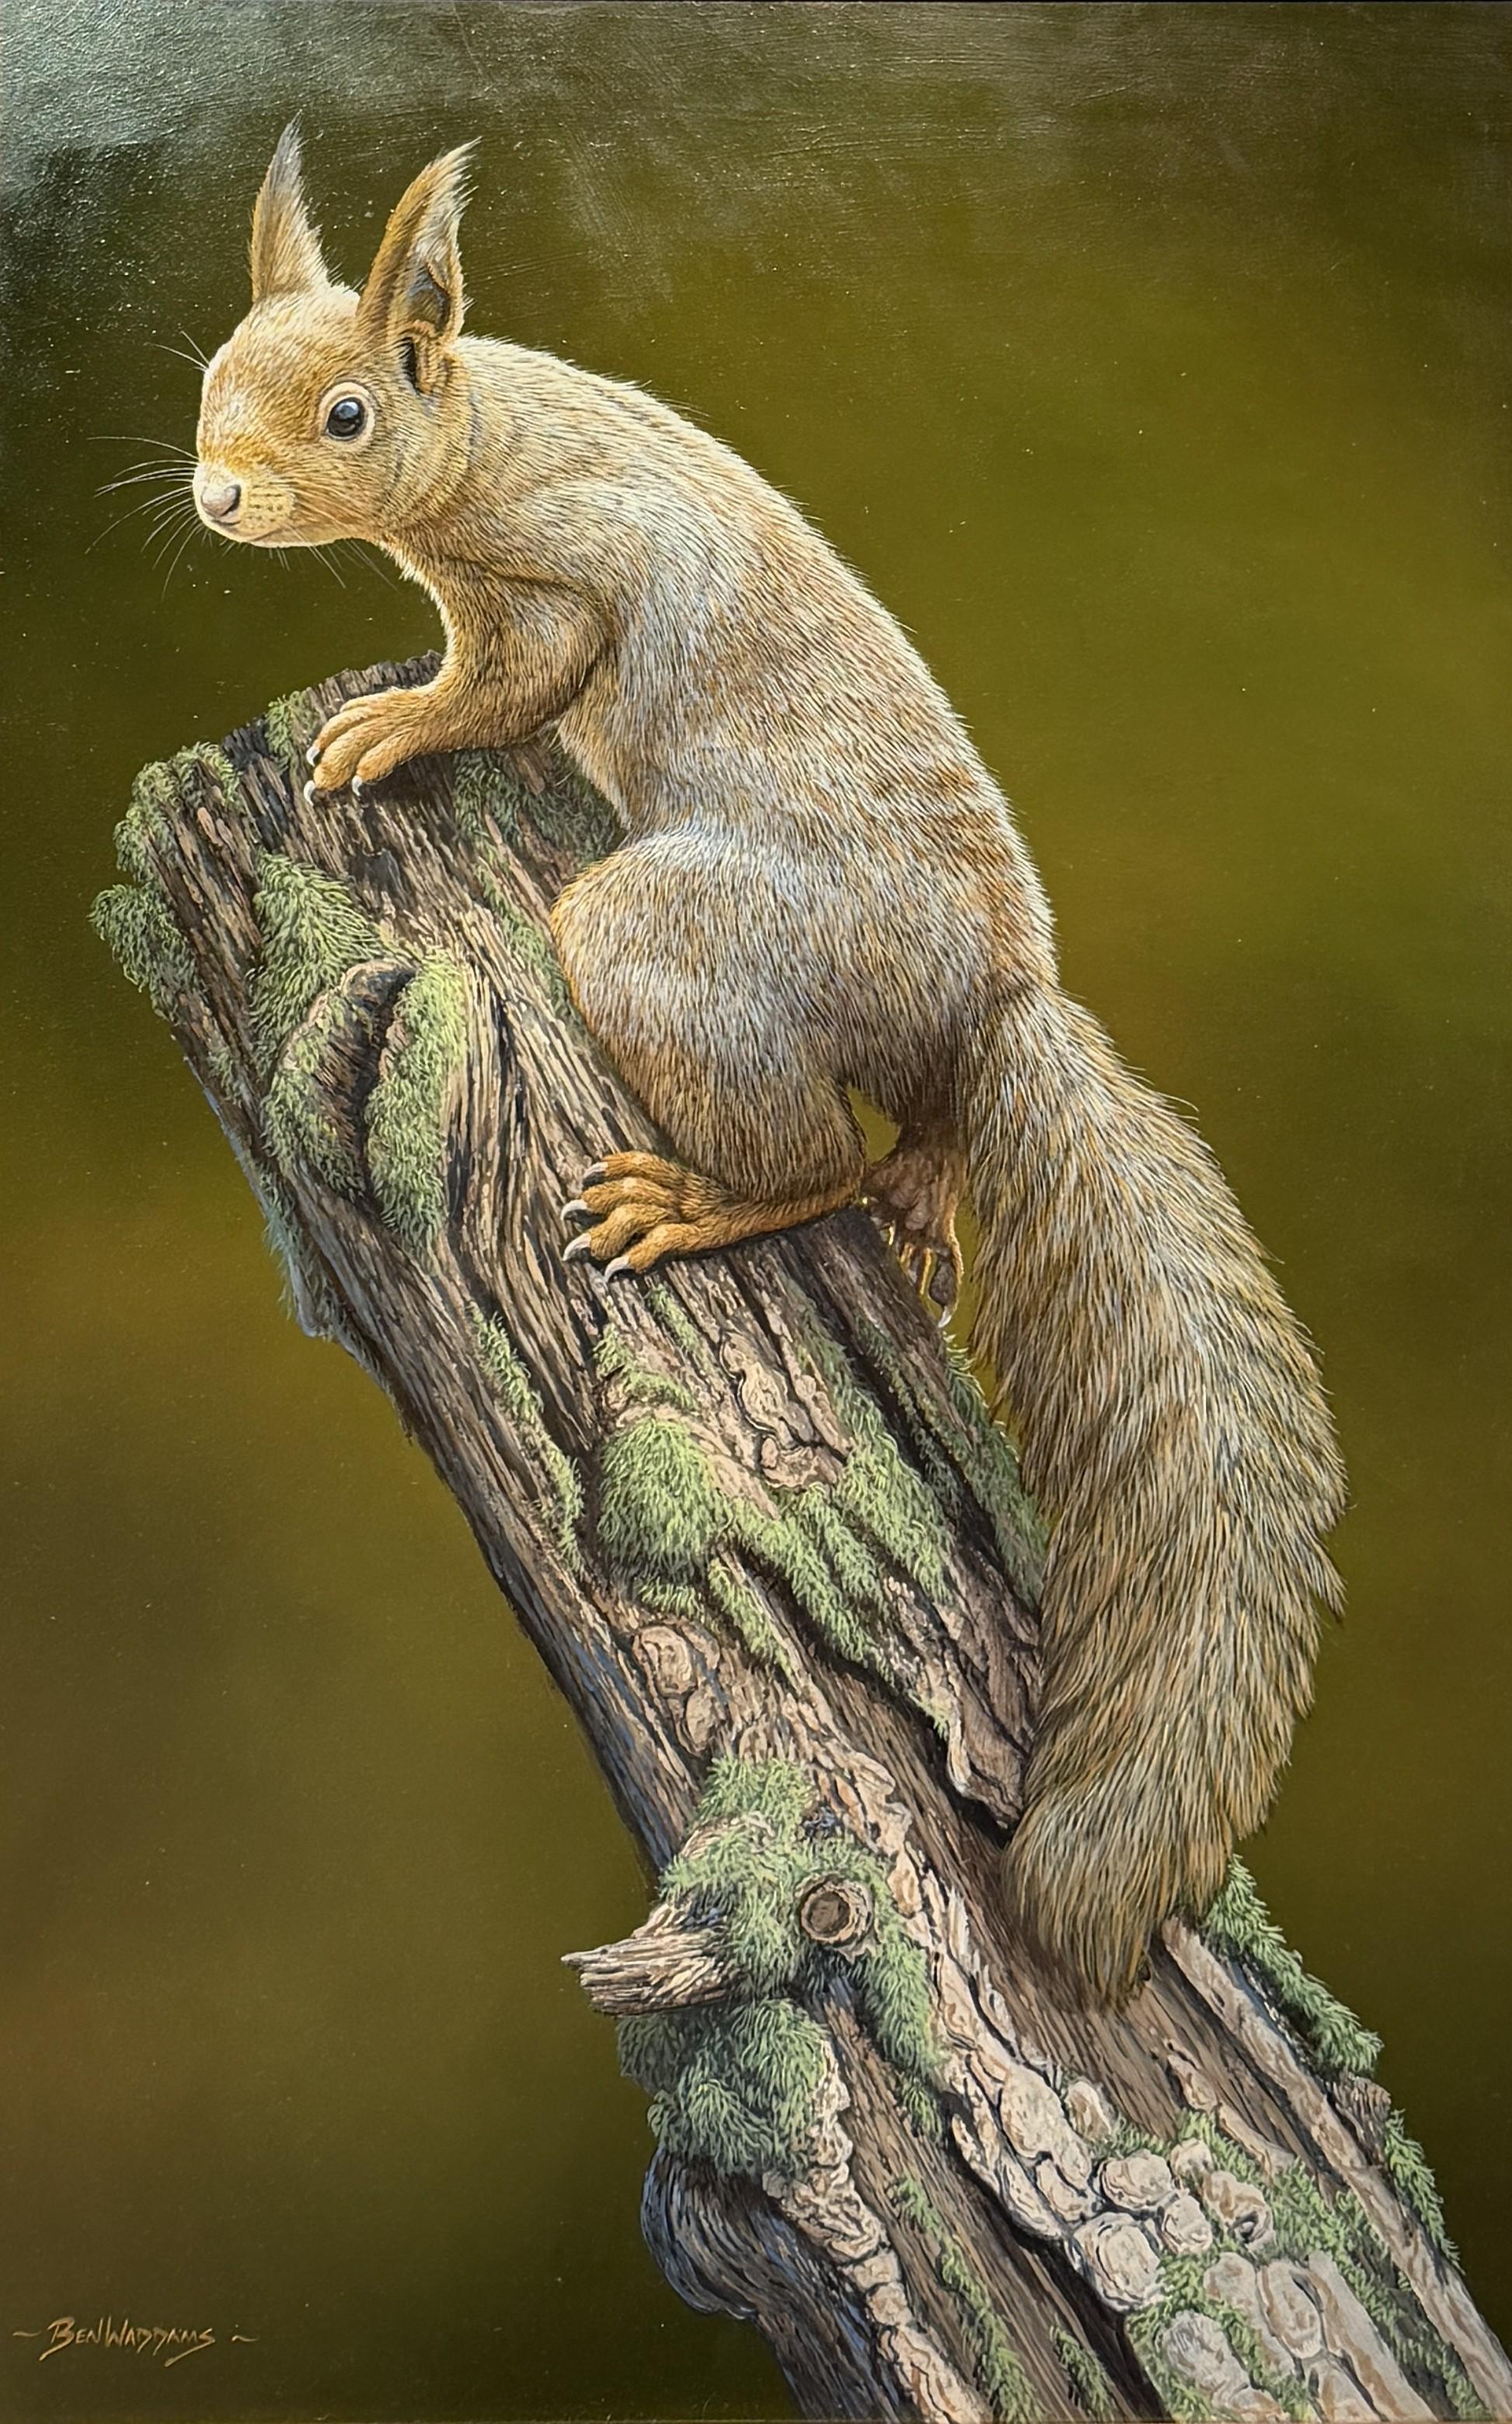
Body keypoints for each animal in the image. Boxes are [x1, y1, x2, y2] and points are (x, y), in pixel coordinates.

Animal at [192, 128, 1347, 2004]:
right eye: (209, 380)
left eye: (348, 415)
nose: (217, 496)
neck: (491, 427)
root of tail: (992, 999)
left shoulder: (561, 578)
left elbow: (516, 680)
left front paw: (394, 725)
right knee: (908, 1142)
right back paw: (925, 1199)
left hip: (677, 940)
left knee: (802, 1158)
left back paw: (702, 1198)